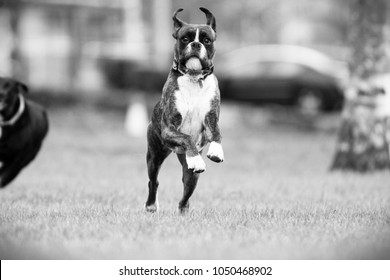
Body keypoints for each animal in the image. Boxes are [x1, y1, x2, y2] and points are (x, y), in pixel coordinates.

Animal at [145, 7, 225, 212]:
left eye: (207, 40)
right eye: (185, 39)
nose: (196, 44)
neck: (194, 78)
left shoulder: (211, 119)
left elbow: (217, 133)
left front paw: (216, 151)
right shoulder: (169, 129)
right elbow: (187, 137)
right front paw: (196, 157)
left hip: (191, 177)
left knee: (185, 196)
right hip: (154, 156)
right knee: (153, 182)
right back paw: (151, 205)